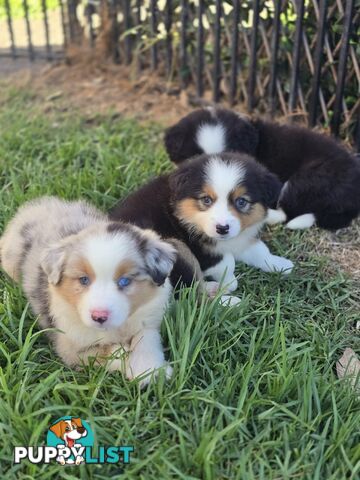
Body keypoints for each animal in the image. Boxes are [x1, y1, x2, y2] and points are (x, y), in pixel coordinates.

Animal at [0, 197, 177, 384]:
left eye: (124, 281)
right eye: (84, 279)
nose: (99, 316)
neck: (114, 330)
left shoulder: (150, 316)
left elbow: (146, 336)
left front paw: (150, 369)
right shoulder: (69, 346)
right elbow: (111, 353)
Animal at [111, 153, 294, 296]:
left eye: (241, 202)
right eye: (206, 200)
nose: (222, 229)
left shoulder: (240, 236)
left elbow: (258, 249)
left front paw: (280, 264)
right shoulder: (198, 247)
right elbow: (227, 261)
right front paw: (229, 282)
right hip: (173, 249)